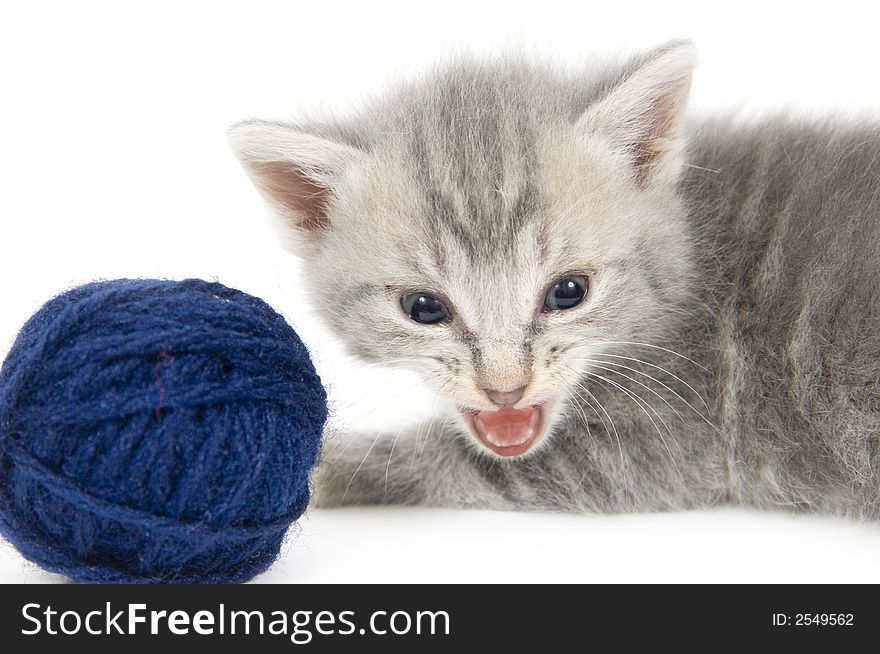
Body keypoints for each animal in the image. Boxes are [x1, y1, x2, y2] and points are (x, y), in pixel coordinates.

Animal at [229, 43, 880, 520]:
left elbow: (452, 460)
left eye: (568, 292)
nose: (505, 391)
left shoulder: (674, 439)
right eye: (423, 308)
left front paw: (315, 469)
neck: (702, 263)